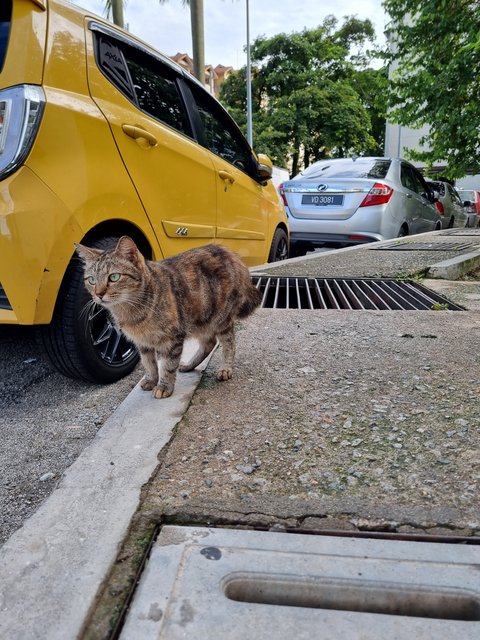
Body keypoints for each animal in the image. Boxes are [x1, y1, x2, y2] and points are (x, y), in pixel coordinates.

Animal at [75, 238, 262, 400]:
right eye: (91, 280)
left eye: (114, 277)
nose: (98, 294)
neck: (132, 311)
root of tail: (230, 253)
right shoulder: (142, 343)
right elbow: (149, 364)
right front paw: (151, 380)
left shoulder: (172, 339)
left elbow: (167, 365)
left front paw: (164, 386)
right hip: (200, 319)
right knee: (209, 343)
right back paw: (190, 365)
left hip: (220, 319)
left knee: (229, 343)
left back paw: (225, 368)